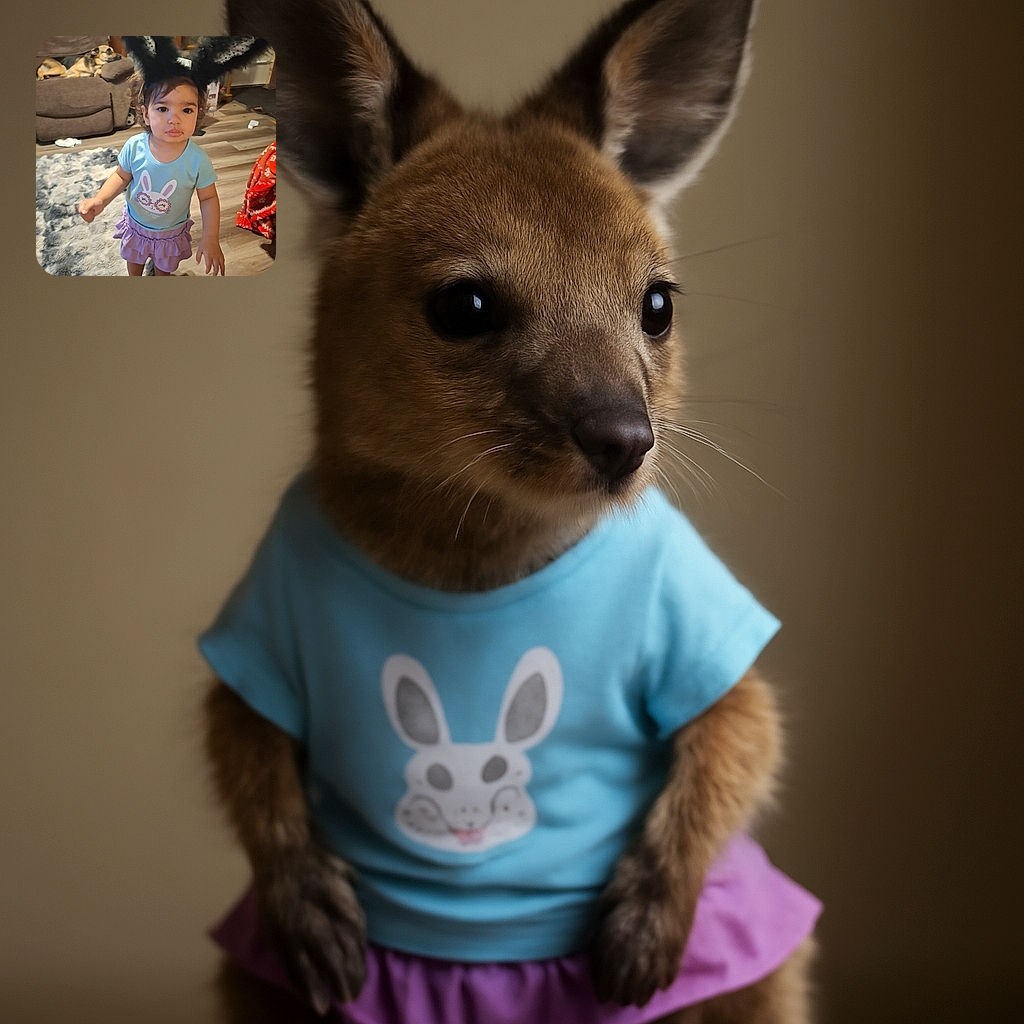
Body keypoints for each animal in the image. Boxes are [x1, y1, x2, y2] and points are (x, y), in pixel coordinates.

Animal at [202, 1, 820, 1022]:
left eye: (657, 305)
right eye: (464, 306)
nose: (625, 439)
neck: (475, 559)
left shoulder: (702, 628)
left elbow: (742, 733)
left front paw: (643, 930)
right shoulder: (259, 627)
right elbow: (241, 741)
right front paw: (312, 915)